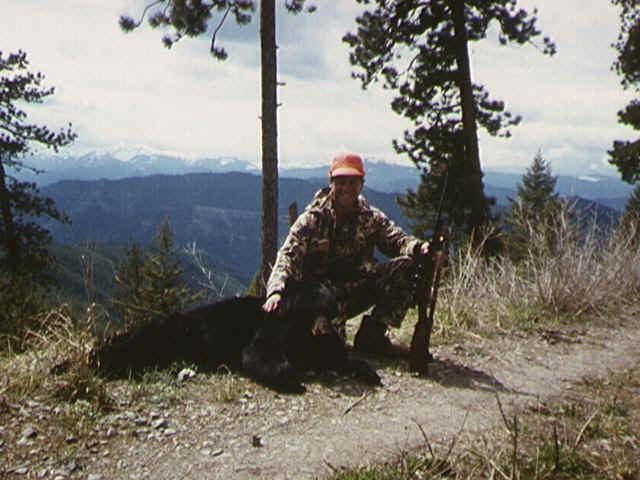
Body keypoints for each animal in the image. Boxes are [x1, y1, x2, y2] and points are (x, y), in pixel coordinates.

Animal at [91, 295, 381, 393]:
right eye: (313, 308)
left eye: (330, 308)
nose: (323, 329)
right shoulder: (273, 330)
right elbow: (257, 354)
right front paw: (291, 379)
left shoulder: (316, 344)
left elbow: (336, 356)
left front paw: (370, 371)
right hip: (169, 333)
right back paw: (100, 359)